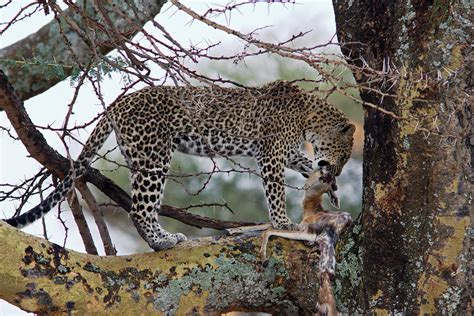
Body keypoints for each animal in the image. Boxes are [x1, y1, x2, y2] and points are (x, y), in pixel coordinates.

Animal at [5, 81, 354, 252]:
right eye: (345, 154)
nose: (337, 172)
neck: (309, 117)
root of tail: (120, 102)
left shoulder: (288, 152)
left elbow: (306, 162)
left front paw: (329, 188)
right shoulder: (271, 153)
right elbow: (275, 191)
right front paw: (283, 223)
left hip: (141, 157)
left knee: (144, 207)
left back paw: (165, 238)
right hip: (154, 155)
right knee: (140, 209)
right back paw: (161, 242)